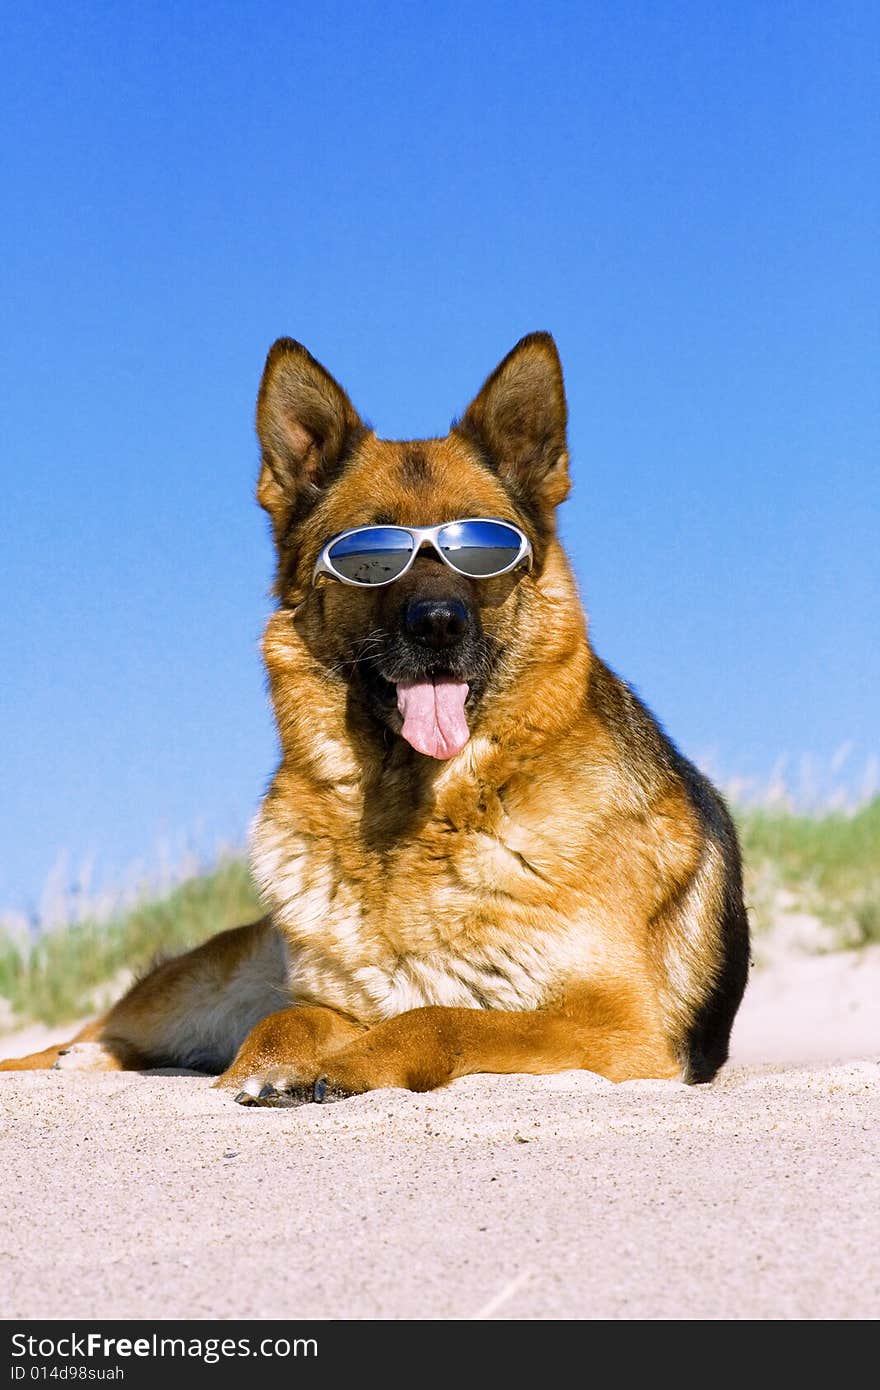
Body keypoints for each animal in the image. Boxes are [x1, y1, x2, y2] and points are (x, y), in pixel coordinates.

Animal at [3, 333, 750, 1095]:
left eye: (483, 551)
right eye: (370, 557)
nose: (439, 625)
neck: (417, 812)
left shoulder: (621, 1033)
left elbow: (441, 1017)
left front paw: (345, 1066)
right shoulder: (327, 1000)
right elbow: (288, 1019)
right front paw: (268, 1068)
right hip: (196, 993)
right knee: (89, 1036)